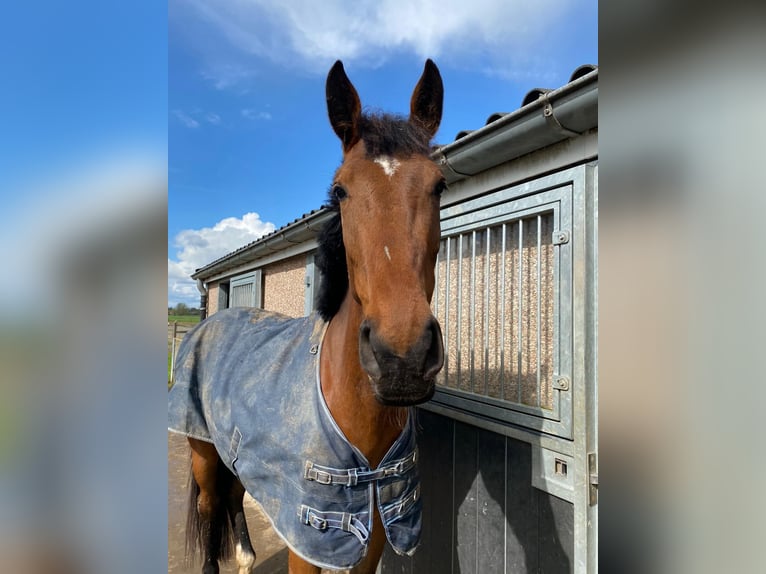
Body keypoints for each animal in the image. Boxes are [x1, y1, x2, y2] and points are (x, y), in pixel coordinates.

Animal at [168, 59, 444, 574]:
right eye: (341, 189)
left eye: (440, 184)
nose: (402, 357)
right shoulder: (307, 540)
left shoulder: (376, 536)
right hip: (201, 451)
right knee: (211, 506)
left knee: (235, 495)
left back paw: (245, 555)